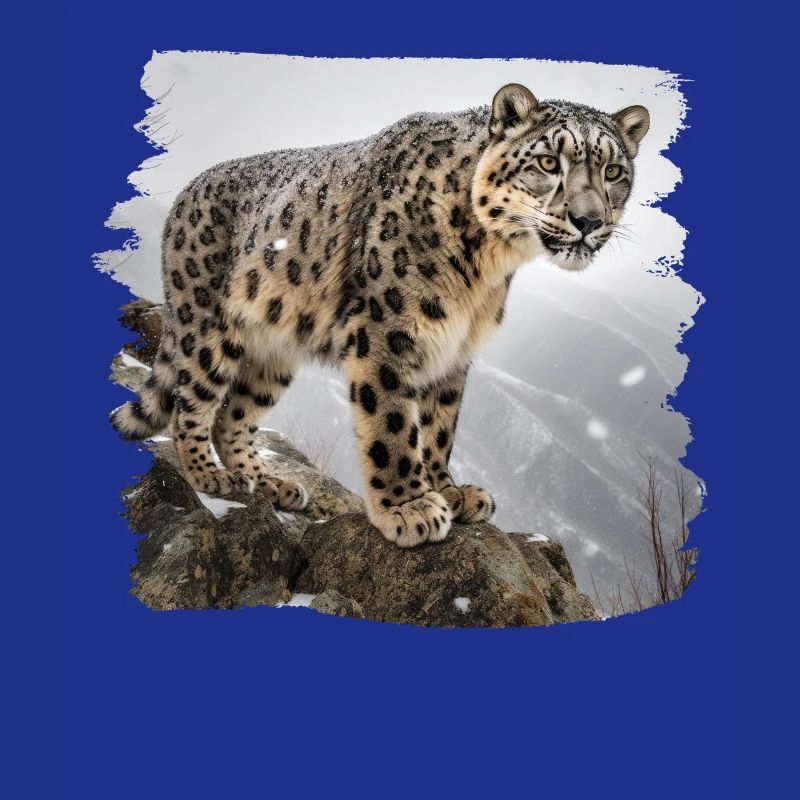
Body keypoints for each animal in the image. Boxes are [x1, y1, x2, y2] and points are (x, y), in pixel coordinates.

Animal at [111, 83, 649, 548]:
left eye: (614, 172)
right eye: (547, 162)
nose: (589, 220)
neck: (487, 267)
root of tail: (185, 193)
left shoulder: (454, 349)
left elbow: (440, 426)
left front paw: (450, 491)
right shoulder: (387, 330)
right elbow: (393, 421)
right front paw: (410, 508)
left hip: (274, 355)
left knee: (234, 417)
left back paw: (267, 483)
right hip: (208, 324)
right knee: (192, 403)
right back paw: (211, 476)